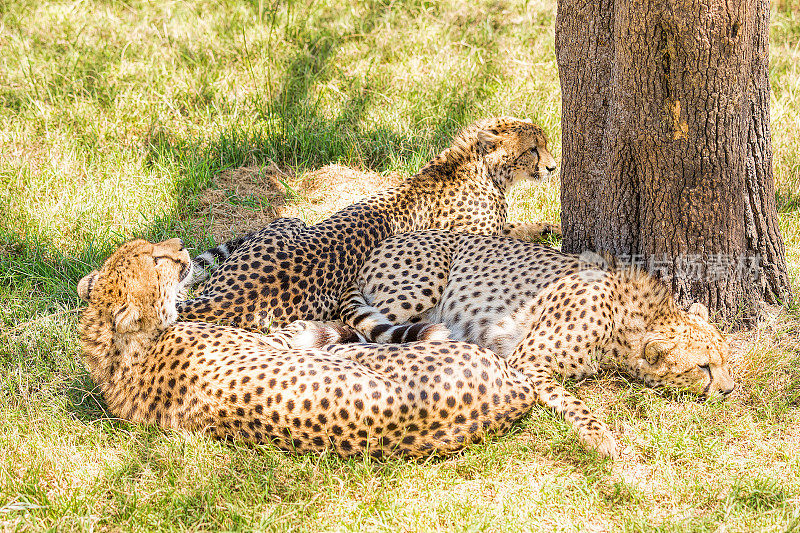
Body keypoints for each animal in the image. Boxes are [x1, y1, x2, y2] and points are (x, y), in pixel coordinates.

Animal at [76, 238, 544, 458]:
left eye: (152, 249)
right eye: (156, 261)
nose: (180, 248)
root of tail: (518, 390)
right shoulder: (275, 342)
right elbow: (298, 333)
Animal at [178, 117, 560, 332]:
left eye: (543, 144)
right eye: (533, 149)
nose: (554, 168)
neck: (473, 163)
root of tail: (223, 297)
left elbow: (518, 227)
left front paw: (549, 227)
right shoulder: (473, 238)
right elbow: (510, 236)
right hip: (294, 222)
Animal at [340, 231, 736, 456]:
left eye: (726, 360)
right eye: (703, 367)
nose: (730, 390)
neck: (630, 318)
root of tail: (385, 242)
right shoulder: (525, 361)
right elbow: (575, 402)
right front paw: (601, 439)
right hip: (417, 290)